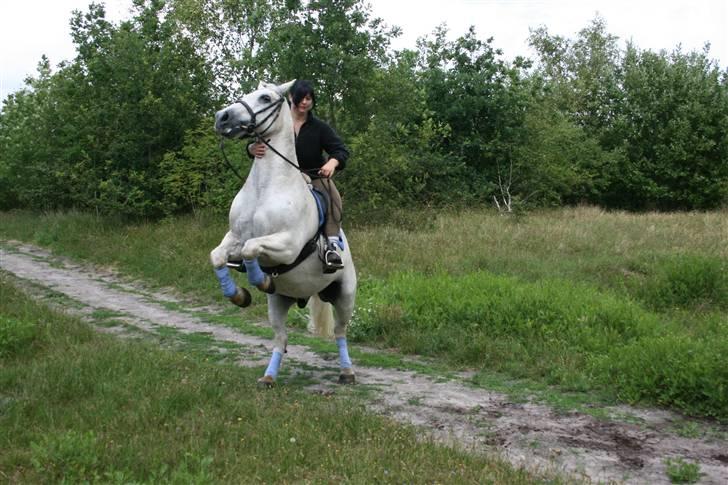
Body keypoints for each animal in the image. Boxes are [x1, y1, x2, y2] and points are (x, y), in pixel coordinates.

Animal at [210, 81, 358, 388]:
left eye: (266, 98)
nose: (222, 118)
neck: (266, 188)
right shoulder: (234, 237)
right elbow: (218, 256)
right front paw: (239, 295)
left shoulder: (287, 245)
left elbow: (251, 248)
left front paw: (261, 280)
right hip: (279, 303)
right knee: (281, 338)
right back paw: (269, 377)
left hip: (345, 297)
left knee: (340, 333)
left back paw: (347, 372)